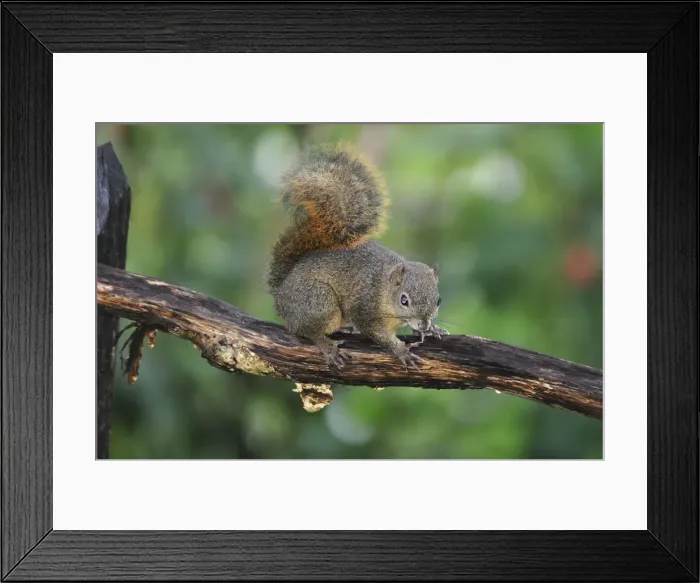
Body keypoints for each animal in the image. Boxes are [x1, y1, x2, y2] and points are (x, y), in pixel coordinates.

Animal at [267, 143, 447, 371]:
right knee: (308, 330)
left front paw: (433, 329)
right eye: (404, 300)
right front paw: (401, 351)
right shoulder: (364, 308)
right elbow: (378, 334)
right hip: (318, 301)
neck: (383, 287)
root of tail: (280, 293)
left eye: (439, 300)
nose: (423, 324)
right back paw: (327, 346)